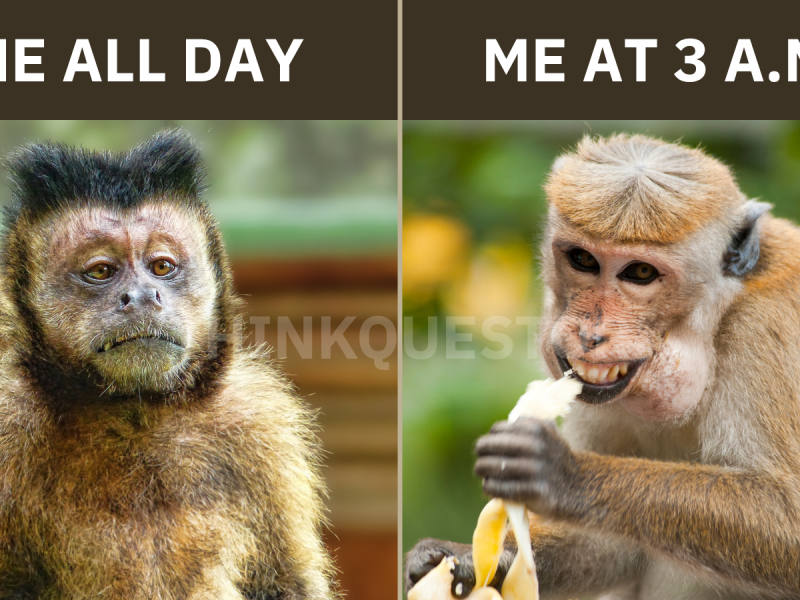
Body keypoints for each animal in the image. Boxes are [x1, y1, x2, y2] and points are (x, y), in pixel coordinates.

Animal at [0, 130, 335, 600]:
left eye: (161, 267)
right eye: (100, 271)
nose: (142, 296)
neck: (134, 415)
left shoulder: (258, 429)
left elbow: (286, 583)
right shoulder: (9, 424)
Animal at [406, 134, 800, 600]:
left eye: (641, 272)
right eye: (583, 260)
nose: (589, 336)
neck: (717, 320)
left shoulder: (765, 332)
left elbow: (788, 519)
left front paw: (564, 474)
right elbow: (612, 544)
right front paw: (465, 558)